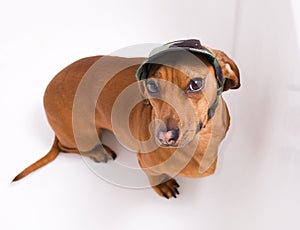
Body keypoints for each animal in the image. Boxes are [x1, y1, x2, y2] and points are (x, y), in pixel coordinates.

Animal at [12, 39, 240, 198]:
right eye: (151, 85)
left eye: (196, 84)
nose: (164, 138)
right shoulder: (145, 163)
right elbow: (155, 176)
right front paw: (162, 185)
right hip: (82, 135)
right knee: (68, 147)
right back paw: (100, 152)